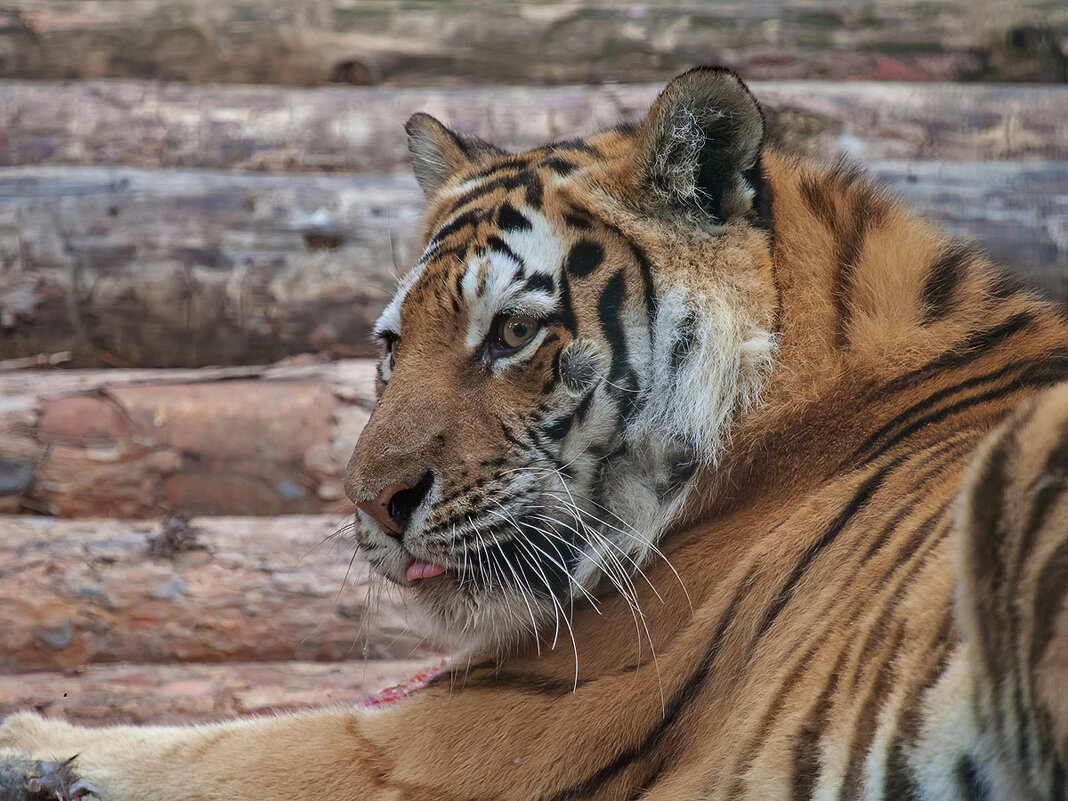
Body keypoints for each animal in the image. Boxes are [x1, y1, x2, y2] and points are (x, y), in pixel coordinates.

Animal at [2, 67, 1068, 801]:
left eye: (513, 333)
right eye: (392, 345)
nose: (372, 505)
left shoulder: (464, 739)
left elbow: (216, 744)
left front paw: (29, 738)